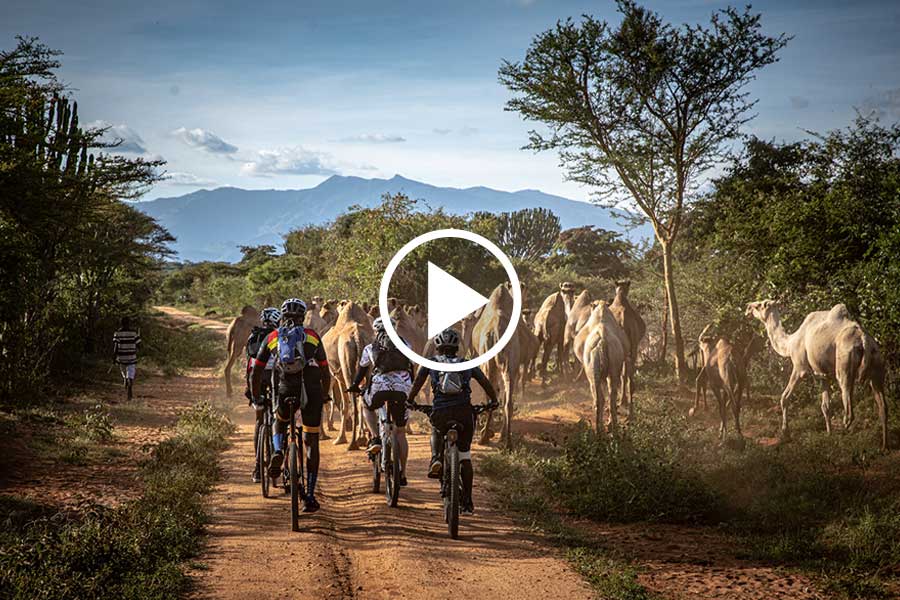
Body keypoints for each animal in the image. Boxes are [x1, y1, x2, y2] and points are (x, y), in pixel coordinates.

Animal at [320, 300, 372, 450]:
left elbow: (343, 405)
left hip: (345, 364)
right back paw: (366, 439)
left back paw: (352, 442)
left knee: (351, 400)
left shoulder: (338, 377)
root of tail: (357, 336)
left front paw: (340, 438)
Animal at [472, 284, 520, 448]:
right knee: (508, 399)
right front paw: (501, 435)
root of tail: (497, 330)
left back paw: (484, 437)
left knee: (492, 395)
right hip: (511, 361)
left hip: (489, 363)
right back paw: (508, 442)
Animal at [572, 302, 628, 434]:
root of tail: (602, 340)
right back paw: (612, 427)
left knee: (598, 396)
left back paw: (598, 429)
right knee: (611, 396)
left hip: (592, 369)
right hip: (614, 364)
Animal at [604, 280, 648, 418]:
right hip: (632, 349)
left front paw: (621, 401)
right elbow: (625, 375)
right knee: (629, 379)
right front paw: (622, 401)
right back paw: (630, 412)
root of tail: (623, 321)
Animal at [744, 300, 884, 450]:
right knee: (882, 407)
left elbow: (784, 397)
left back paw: (843, 440)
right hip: (877, 361)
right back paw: (883, 445)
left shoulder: (800, 368)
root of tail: (864, 340)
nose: (748, 308)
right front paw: (828, 434)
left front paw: (785, 432)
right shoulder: (822, 375)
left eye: (759, 305)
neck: (790, 343)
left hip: (844, 365)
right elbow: (826, 406)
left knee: (848, 412)